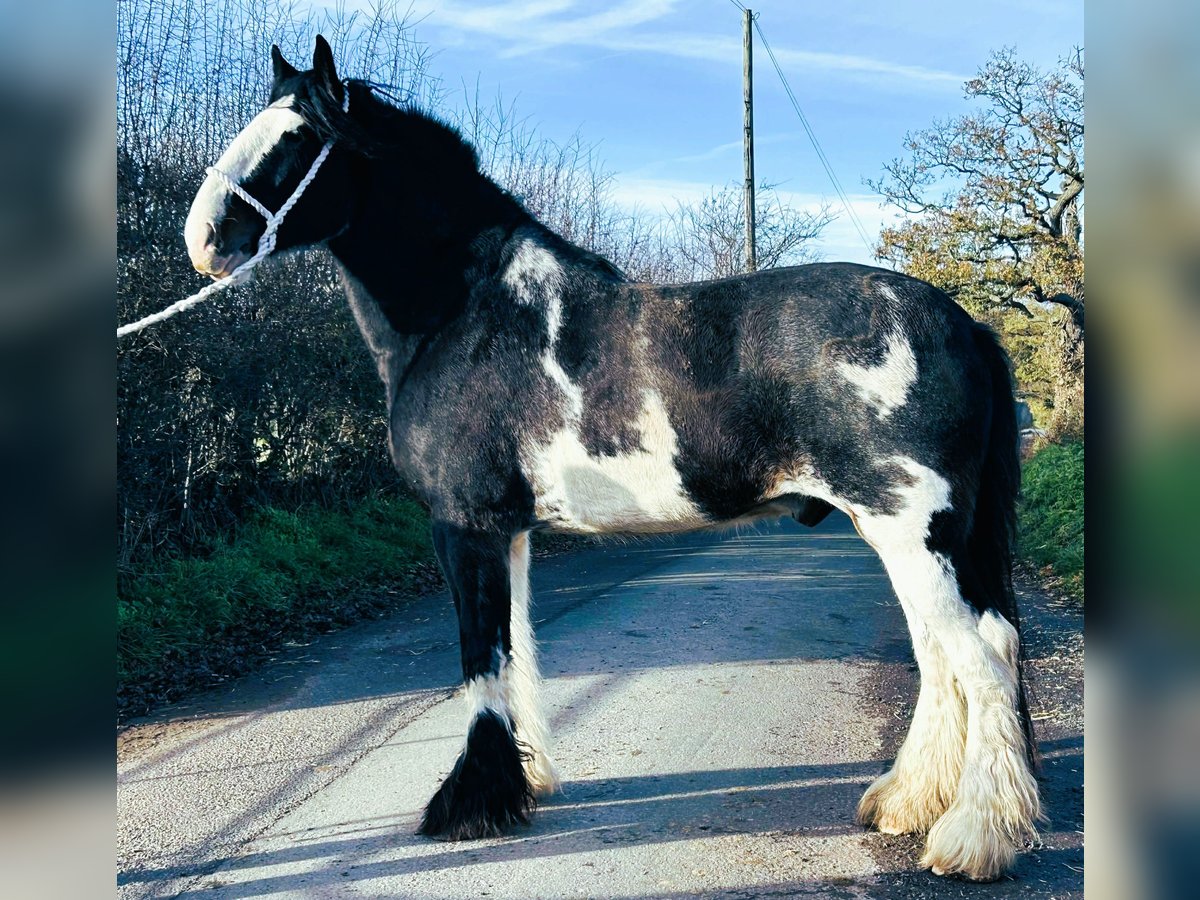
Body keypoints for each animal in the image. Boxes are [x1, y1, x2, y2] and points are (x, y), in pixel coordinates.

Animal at [183, 37, 1041, 881]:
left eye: (296, 139)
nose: (203, 239)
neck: (466, 312)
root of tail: (962, 323)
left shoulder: (463, 527)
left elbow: (481, 660)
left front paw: (470, 807)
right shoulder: (509, 531)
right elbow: (518, 652)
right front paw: (524, 783)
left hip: (913, 532)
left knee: (985, 656)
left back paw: (972, 838)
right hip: (899, 535)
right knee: (942, 659)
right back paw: (906, 802)